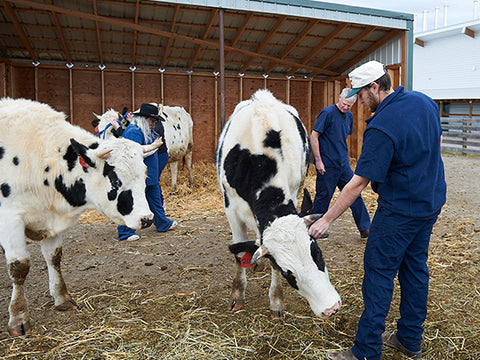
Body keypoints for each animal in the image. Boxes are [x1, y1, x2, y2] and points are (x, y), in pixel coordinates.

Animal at [0, 97, 161, 336]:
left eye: (145, 175)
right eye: (116, 181)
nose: (147, 218)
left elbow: (54, 257)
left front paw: (62, 297)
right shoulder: (10, 219)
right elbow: (19, 266)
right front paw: (19, 317)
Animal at [214, 89, 342, 318]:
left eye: (317, 253)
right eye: (288, 272)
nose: (331, 308)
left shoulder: (292, 192)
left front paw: (276, 301)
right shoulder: (230, 207)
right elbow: (239, 252)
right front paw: (237, 295)